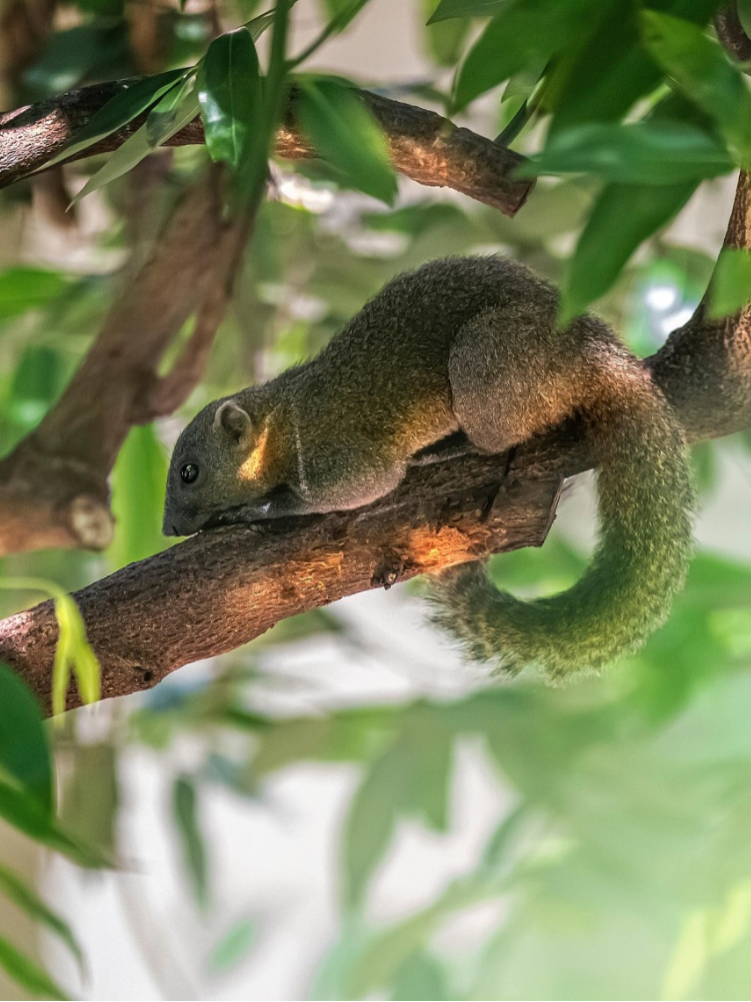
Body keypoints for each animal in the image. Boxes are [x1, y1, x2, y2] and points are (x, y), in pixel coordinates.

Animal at [163, 256, 696, 678]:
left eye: (189, 472)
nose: (168, 527)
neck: (281, 418)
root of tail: (597, 352)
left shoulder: (335, 457)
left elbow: (359, 488)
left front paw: (256, 509)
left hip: (487, 358)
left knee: (502, 433)